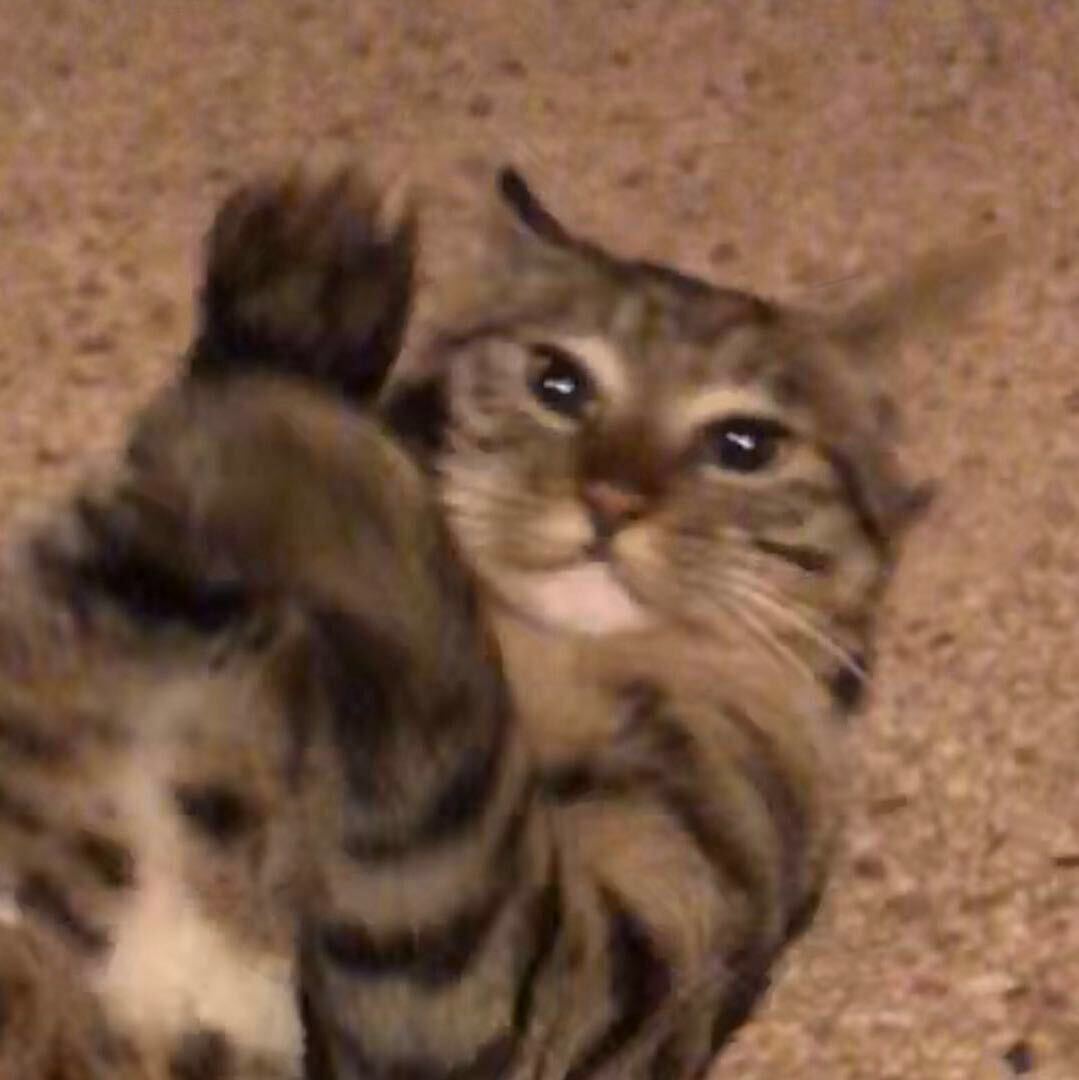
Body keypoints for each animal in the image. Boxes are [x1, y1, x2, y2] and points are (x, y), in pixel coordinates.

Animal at [0, 160, 998, 1078]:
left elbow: (434, 704)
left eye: (745, 445)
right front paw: (294, 308)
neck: (547, 653)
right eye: (557, 383)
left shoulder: (548, 1001)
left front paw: (304, 420)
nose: (610, 500)